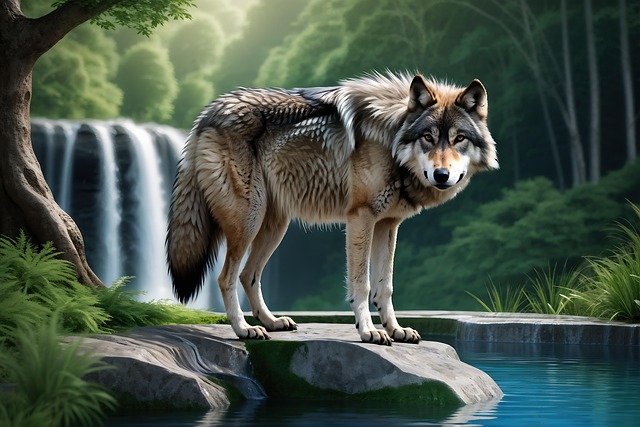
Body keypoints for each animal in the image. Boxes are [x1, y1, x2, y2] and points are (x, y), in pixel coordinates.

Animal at [166, 72, 498, 345]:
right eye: (428, 137)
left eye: (459, 138)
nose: (441, 175)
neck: (391, 140)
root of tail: (208, 113)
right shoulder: (361, 218)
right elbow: (362, 285)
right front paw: (369, 331)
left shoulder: (388, 224)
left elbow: (386, 287)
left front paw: (396, 330)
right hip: (249, 218)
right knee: (226, 277)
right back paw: (243, 329)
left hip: (274, 226)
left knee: (248, 275)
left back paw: (271, 322)